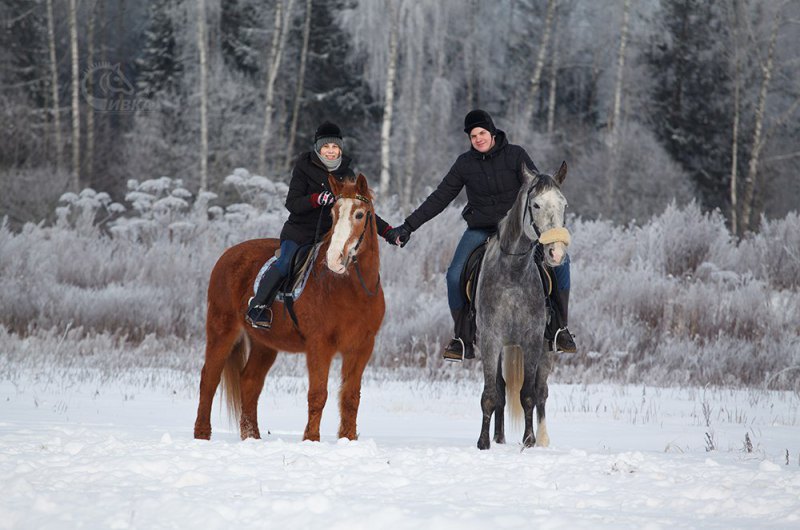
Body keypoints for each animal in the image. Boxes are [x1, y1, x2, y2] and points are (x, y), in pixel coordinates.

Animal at [191, 174, 384, 442]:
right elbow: (318, 394)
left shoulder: (361, 348)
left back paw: (252, 437)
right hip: (222, 331)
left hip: (264, 344)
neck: (350, 290)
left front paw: (348, 440)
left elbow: (350, 397)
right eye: (333, 213)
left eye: (359, 214)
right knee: (209, 378)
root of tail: (227, 256)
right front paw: (311, 440)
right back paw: (202, 434)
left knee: (249, 381)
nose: (335, 259)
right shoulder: (319, 345)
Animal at [476, 162, 568, 450]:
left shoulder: (533, 341)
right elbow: (491, 394)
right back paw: (499, 437)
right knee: (501, 388)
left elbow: (528, 394)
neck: (513, 274)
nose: (556, 253)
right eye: (536, 204)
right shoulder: (491, 340)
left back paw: (543, 438)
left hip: (546, 350)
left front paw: (529, 440)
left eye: (564, 204)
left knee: (541, 391)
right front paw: (484, 443)